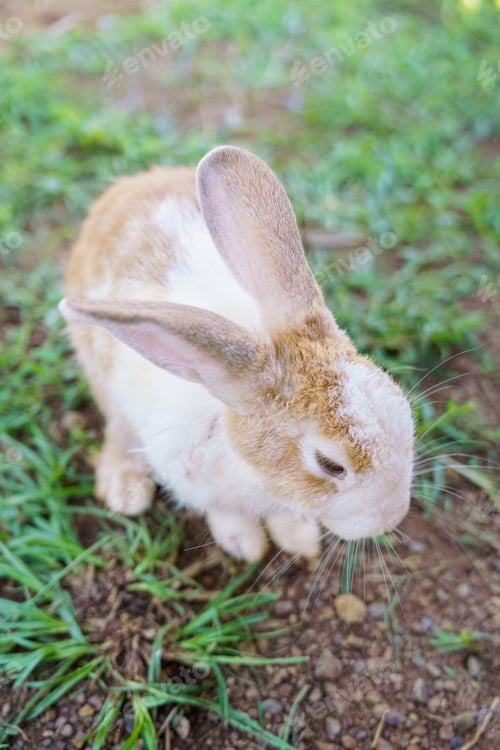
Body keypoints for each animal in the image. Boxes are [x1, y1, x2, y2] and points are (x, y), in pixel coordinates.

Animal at [59, 145, 414, 562]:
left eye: (404, 408)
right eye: (330, 465)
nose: (392, 518)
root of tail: (128, 186)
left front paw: (299, 539)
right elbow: (226, 513)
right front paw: (244, 544)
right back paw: (126, 489)